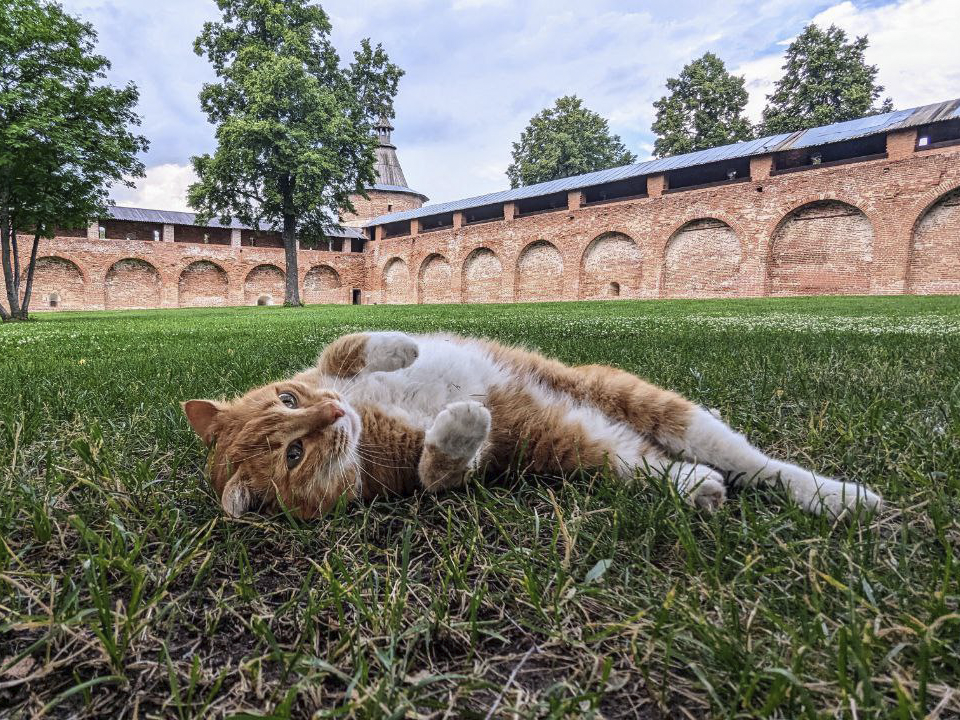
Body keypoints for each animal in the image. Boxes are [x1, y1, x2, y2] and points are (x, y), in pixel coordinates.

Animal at [182, 330, 884, 520]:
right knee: (664, 470)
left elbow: (350, 346)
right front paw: (461, 422)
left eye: (287, 398)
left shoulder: (327, 365)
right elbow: (440, 469)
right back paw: (701, 489)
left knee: (761, 467)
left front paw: (402, 347)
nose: (332, 414)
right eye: (293, 456)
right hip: (591, 446)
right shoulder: (422, 477)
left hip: (645, 401)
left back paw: (842, 497)